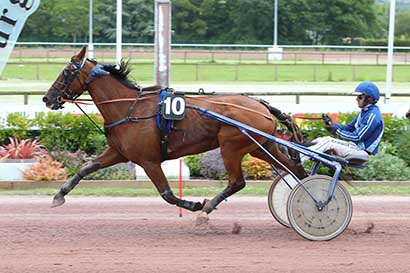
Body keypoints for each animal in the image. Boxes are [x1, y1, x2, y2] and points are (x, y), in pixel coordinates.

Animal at [42, 45, 308, 218]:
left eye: (67, 72)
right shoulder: (119, 152)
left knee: (237, 182)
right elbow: (85, 168)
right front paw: (58, 196)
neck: (129, 107)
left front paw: (195, 205)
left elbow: (167, 194)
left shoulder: (148, 160)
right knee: (294, 170)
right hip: (261, 147)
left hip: (231, 147)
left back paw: (207, 208)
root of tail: (263, 106)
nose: (47, 98)